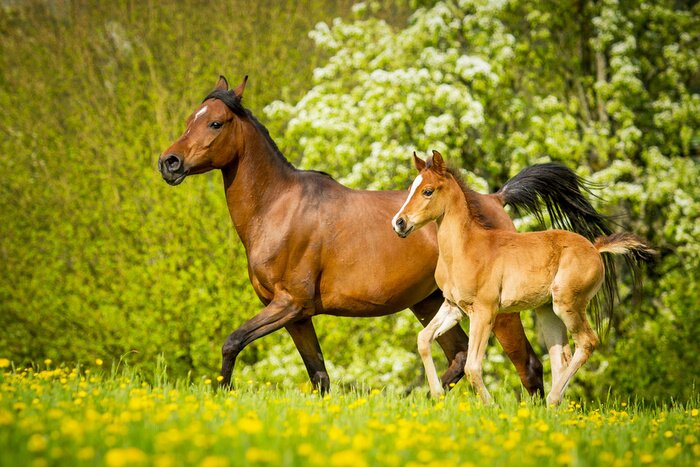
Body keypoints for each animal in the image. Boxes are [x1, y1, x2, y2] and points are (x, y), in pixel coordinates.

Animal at [158, 75, 612, 395]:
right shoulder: (296, 315)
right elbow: (320, 376)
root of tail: (496, 199)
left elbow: (232, 342)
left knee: (528, 367)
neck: (278, 208)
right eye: (191, 119)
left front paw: (223, 393)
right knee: (457, 356)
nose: (169, 162)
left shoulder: (289, 304)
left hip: (499, 311)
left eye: (215, 122)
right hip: (431, 302)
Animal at [392, 150, 654, 405]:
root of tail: (595, 248)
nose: (399, 223)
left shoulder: (485, 311)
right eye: (410, 189)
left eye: (427, 191)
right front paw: (437, 394)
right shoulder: (453, 307)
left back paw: (552, 399)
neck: (464, 249)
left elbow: (472, 366)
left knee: (587, 342)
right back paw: (553, 407)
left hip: (568, 304)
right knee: (561, 357)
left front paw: (490, 406)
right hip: (547, 310)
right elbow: (423, 340)